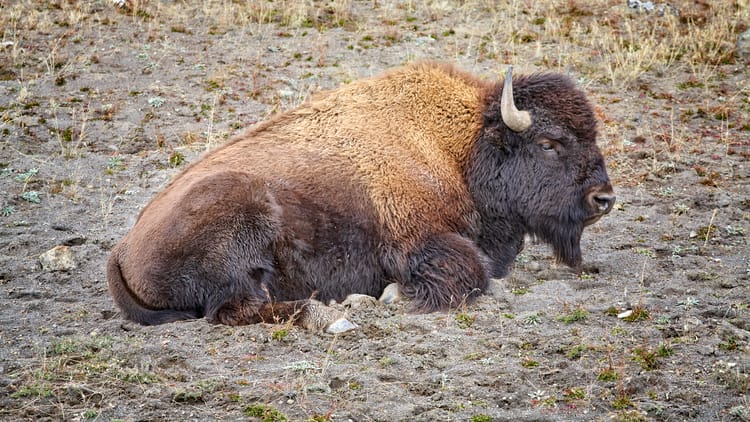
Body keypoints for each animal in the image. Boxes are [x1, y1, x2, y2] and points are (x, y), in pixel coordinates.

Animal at [107, 61, 614, 331]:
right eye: (549, 143)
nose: (603, 199)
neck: (458, 147)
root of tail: (122, 250)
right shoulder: (417, 240)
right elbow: (471, 272)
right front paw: (392, 296)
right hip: (242, 214)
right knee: (232, 309)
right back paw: (327, 310)